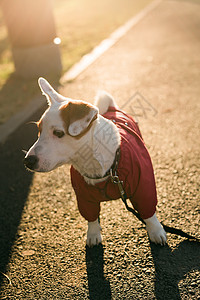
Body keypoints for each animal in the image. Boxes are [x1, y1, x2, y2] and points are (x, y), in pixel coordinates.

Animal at [24, 77, 166, 246]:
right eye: (39, 130)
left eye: (58, 133)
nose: (27, 161)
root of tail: (111, 108)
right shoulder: (84, 198)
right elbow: (91, 218)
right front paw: (93, 234)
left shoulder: (143, 186)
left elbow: (148, 212)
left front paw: (155, 231)